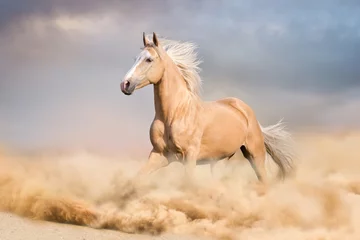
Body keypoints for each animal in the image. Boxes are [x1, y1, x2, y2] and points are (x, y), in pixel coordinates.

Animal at [119, 32, 294, 184]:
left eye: (149, 59)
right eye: (136, 58)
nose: (125, 84)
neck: (175, 113)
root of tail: (245, 110)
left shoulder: (189, 156)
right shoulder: (159, 155)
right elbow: (138, 178)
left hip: (255, 155)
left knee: (264, 180)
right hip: (220, 160)